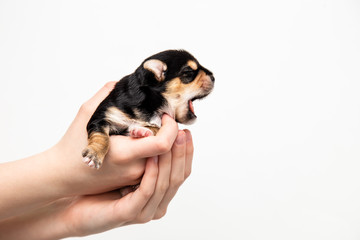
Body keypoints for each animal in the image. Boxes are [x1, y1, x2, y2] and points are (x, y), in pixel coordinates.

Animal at [83, 48, 215, 169]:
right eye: (188, 72)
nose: (214, 77)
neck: (153, 103)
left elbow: (153, 128)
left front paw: (142, 131)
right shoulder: (103, 116)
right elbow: (101, 136)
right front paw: (94, 155)